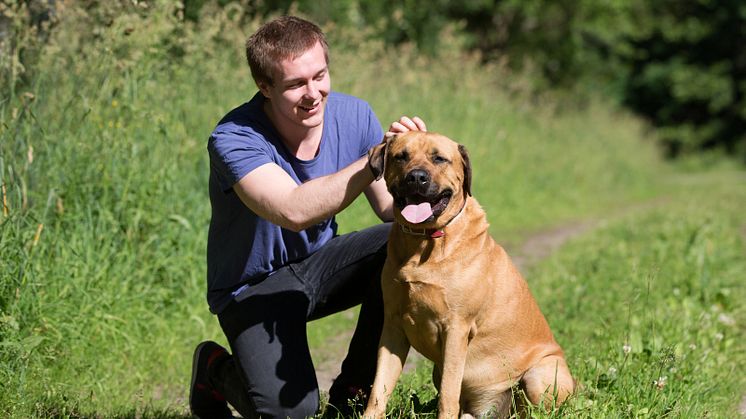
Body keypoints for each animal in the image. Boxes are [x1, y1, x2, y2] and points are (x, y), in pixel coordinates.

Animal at [364, 132, 572, 419]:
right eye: (401, 157)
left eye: (439, 158)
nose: (416, 177)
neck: (424, 241)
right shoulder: (393, 325)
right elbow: (378, 389)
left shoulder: (456, 328)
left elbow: (448, 394)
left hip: (540, 374)